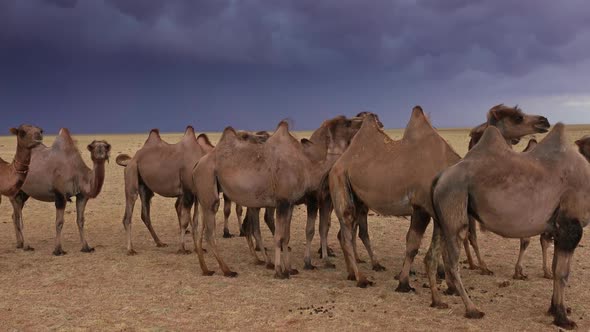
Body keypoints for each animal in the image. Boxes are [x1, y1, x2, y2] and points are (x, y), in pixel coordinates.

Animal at [117, 126, 209, 254]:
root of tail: (130, 160)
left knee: (145, 214)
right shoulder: (187, 192)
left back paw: (159, 242)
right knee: (129, 211)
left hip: (144, 186)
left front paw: (198, 249)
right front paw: (182, 249)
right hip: (132, 174)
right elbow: (185, 221)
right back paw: (130, 250)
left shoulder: (196, 194)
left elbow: (195, 221)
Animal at [192, 116, 366, 278]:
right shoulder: (284, 202)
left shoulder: (289, 203)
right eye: (347, 122)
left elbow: (286, 236)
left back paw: (206, 269)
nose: (364, 120)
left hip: (205, 197)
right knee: (210, 232)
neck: (307, 164)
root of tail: (198, 164)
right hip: (209, 187)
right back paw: (228, 270)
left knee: (200, 231)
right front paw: (280, 272)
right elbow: (279, 236)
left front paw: (289, 269)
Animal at [330, 104, 552, 290]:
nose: (545, 121)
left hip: (358, 198)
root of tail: (339, 162)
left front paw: (447, 282)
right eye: (517, 117)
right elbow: (413, 245)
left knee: (346, 232)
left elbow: (441, 245)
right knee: (347, 229)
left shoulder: (439, 210)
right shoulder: (421, 206)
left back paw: (353, 272)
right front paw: (404, 282)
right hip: (340, 181)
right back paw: (361, 278)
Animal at [430, 124, 590, 330]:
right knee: (452, 262)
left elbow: (555, 269)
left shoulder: (557, 228)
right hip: (454, 206)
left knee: (432, 256)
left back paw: (437, 301)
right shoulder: (570, 225)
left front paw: (554, 309)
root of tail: (439, 177)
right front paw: (563, 318)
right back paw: (472, 309)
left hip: (440, 219)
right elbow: (562, 273)